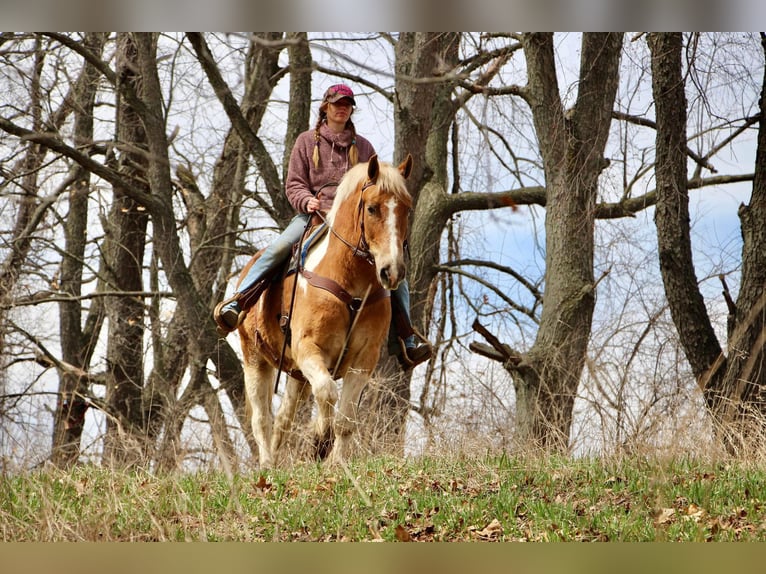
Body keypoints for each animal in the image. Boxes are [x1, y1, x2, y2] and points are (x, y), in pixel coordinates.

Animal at [240, 155, 416, 470]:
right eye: (372, 208)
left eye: (407, 208)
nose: (392, 271)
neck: (350, 283)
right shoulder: (308, 348)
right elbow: (327, 391)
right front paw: (320, 440)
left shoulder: (364, 361)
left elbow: (345, 420)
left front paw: (335, 460)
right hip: (255, 360)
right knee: (262, 420)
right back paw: (267, 465)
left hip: (296, 375)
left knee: (283, 420)